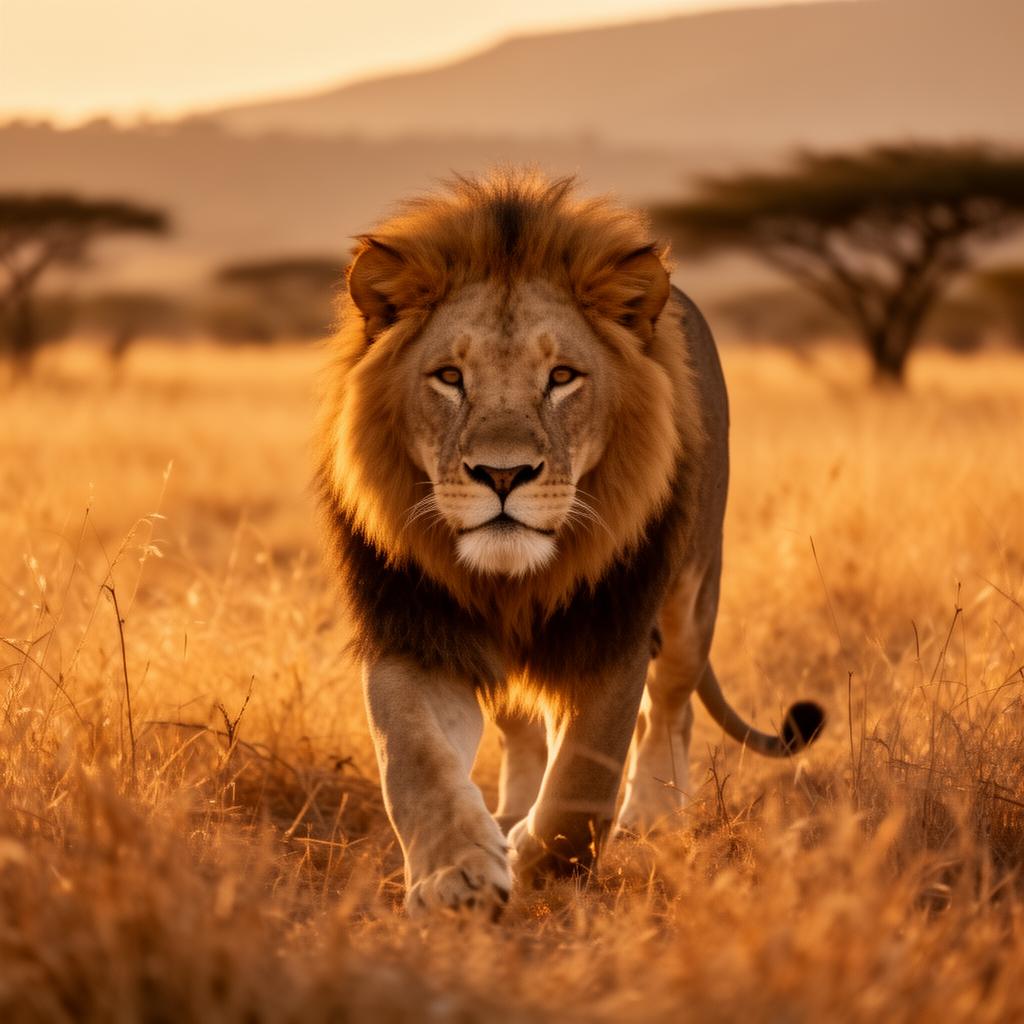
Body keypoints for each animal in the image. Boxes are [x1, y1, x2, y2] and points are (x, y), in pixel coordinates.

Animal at [317, 171, 823, 917]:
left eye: (561, 378)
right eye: (449, 377)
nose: (502, 475)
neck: (512, 579)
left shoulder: (611, 630)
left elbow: (584, 782)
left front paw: (542, 861)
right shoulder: (414, 626)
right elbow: (413, 758)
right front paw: (458, 875)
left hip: (693, 596)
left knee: (668, 709)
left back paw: (652, 818)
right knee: (521, 725)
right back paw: (508, 813)